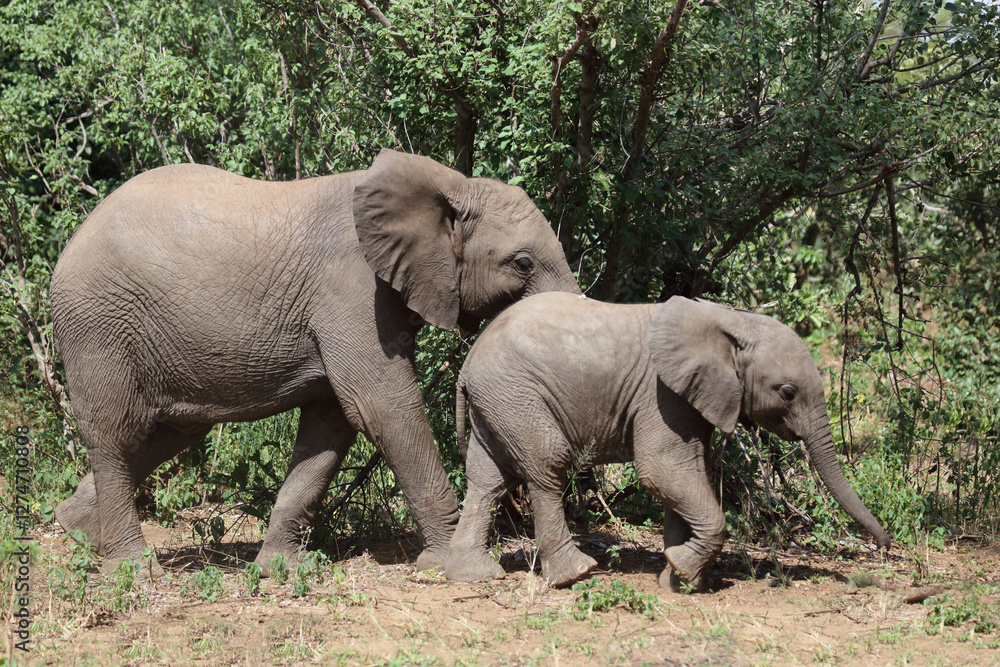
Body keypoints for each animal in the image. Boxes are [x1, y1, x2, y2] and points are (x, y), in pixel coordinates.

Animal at [50, 149, 580, 576]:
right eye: (523, 264)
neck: (449, 185)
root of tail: (73, 238)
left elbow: (331, 424)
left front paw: (280, 569)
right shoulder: (352, 291)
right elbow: (381, 406)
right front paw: (449, 562)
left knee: (169, 433)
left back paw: (77, 531)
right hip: (98, 325)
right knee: (116, 434)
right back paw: (131, 569)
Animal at [444, 292, 890, 590]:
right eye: (787, 393)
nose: (885, 546)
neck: (730, 322)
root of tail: (467, 365)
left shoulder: (695, 397)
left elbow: (687, 471)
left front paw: (678, 581)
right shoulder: (662, 395)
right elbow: (662, 470)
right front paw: (684, 571)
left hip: (497, 402)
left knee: (488, 480)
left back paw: (473, 576)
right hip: (515, 394)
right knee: (547, 465)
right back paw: (576, 575)